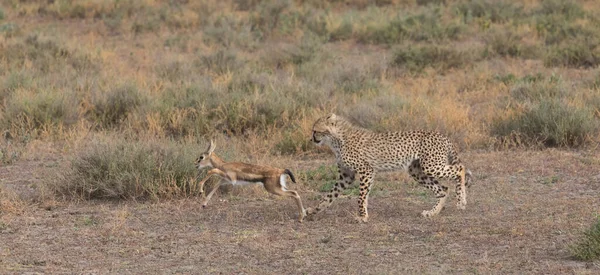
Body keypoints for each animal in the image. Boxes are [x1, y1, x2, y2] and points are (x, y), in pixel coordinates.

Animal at [308, 113, 472, 223]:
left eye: (316, 130)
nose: (312, 139)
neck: (337, 139)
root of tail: (442, 135)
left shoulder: (366, 170)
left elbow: (361, 197)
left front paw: (362, 216)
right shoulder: (346, 176)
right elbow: (329, 195)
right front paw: (312, 210)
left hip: (431, 166)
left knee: (460, 169)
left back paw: (461, 201)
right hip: (417, 170)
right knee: (443, 189)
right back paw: (432, 213)